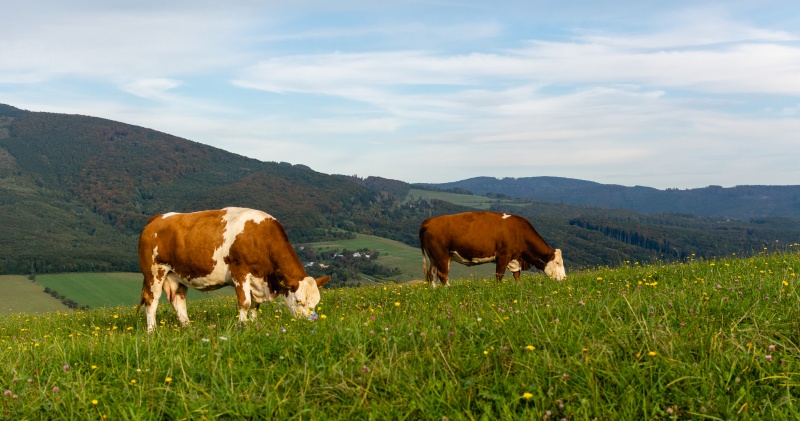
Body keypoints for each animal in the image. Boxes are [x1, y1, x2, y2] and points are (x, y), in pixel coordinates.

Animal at [138, 207, 328, 332]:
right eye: (299, 301)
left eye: (316, 303)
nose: (309, 323)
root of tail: (157, 218)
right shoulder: (240, 272)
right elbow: (245, 303)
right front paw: (242, 326)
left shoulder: (257, 281)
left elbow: (255, 305)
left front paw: (254, 325)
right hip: (154, 272)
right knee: (151, 300)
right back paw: (152, 331)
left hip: (178, 275)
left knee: (178, 300)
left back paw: (188, 328)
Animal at [418, 210, 568, 286]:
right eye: (557, 262)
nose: (564, 278)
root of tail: (430, 220)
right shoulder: (503, 255)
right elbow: (499, 276)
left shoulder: (514, 259)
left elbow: (517, 276)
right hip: (441, 255)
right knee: (442, 275)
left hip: (434, 257)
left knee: (432, 275)